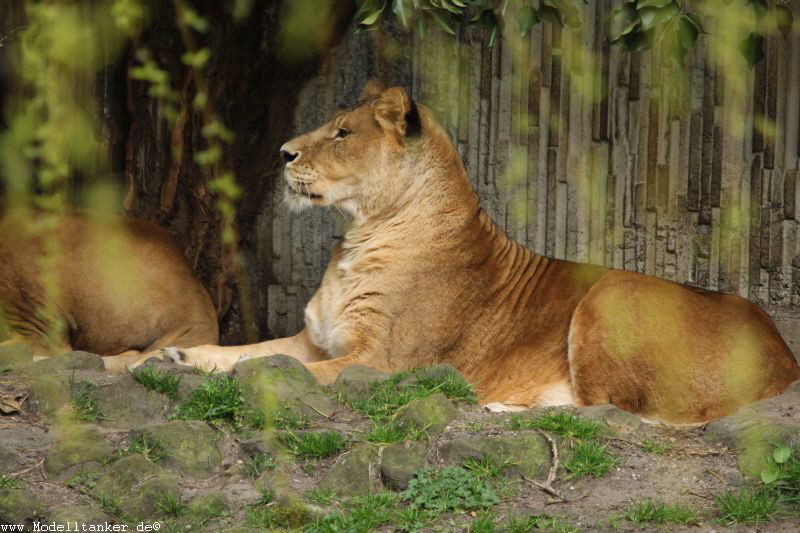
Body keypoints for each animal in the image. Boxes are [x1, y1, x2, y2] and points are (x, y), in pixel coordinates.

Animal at [148, 84, 792, 424]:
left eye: (342, 134)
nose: (283, 153)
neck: (357, 239)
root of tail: (786, 355)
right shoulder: (314, 340)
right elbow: (249, 353)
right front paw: (175, 356)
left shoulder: (379, 363)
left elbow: (275, 369)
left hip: (613, 292)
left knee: (610, 410)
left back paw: (499, 405)